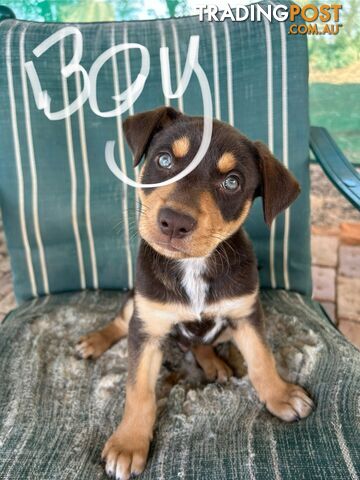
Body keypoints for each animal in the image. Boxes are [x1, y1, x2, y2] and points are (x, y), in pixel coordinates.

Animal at [76, 107, 316, 480]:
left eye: (232, 182)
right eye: (163, 160)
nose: (174, 222)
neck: (193, 267)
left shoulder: (246, 314)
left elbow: (261, 359)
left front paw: (281, 395)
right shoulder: (147, 326)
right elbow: (138, 389)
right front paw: (129, 443)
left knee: (202, 342)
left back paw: (212, 362)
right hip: (136, 304)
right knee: (120, 319)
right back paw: (94, 341)